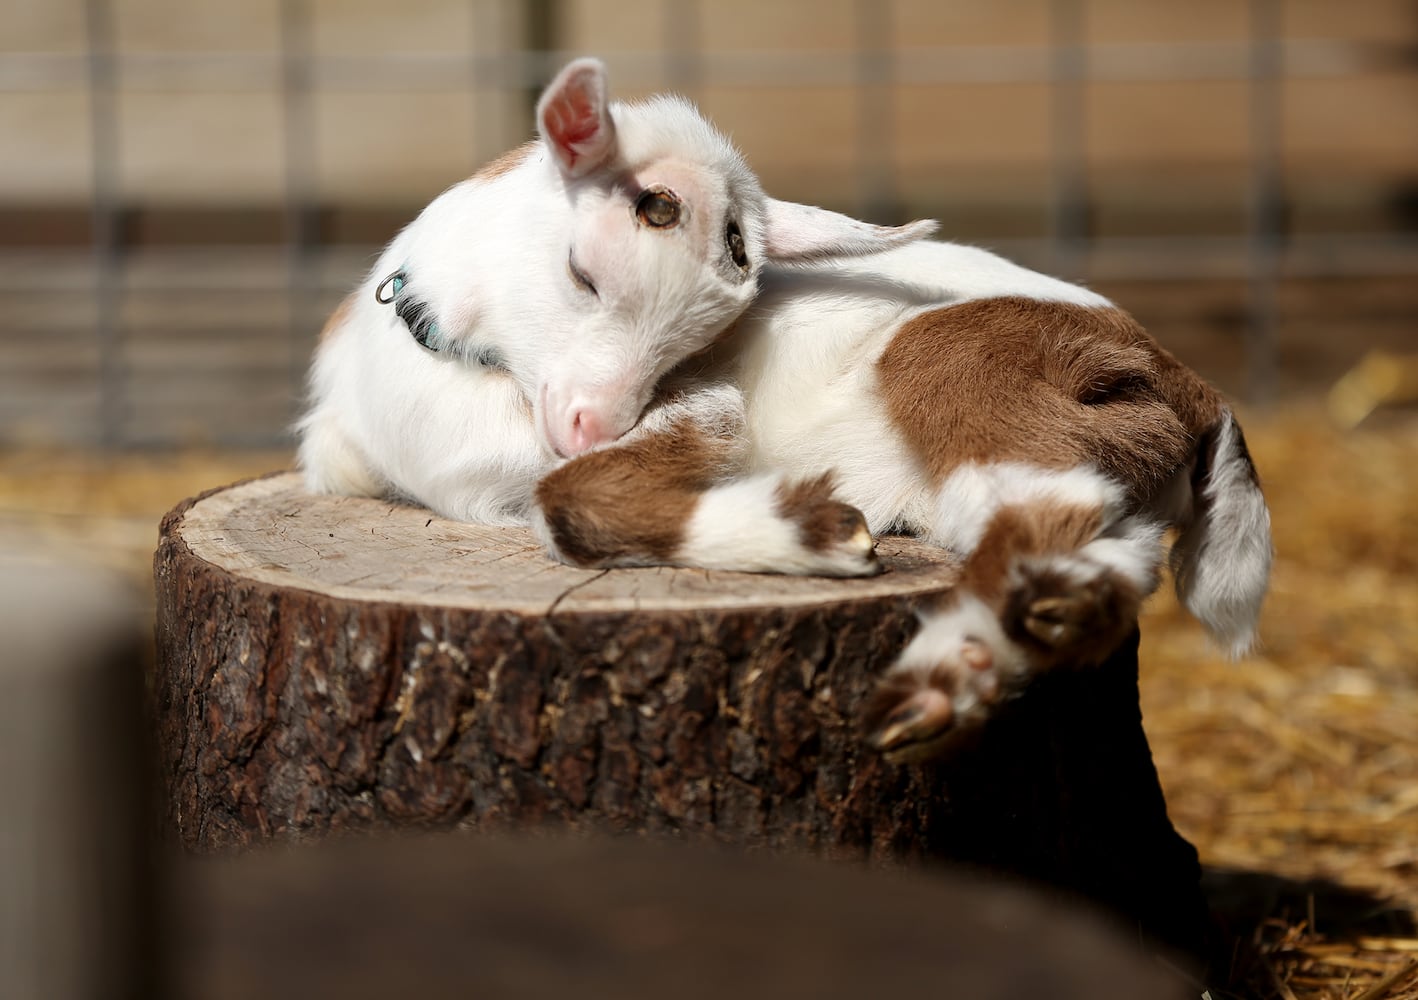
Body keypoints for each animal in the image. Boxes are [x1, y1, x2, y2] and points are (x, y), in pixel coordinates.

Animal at [299, 58, 1276, 760]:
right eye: (583, 271)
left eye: (701, 336)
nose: (592, 425)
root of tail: (1193, 387)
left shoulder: (701, 409)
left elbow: (568, 502)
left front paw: (818, 532)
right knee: (1101, 558)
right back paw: (974, 668)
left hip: (968, 372)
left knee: (1046, 510)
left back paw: (931, 672)